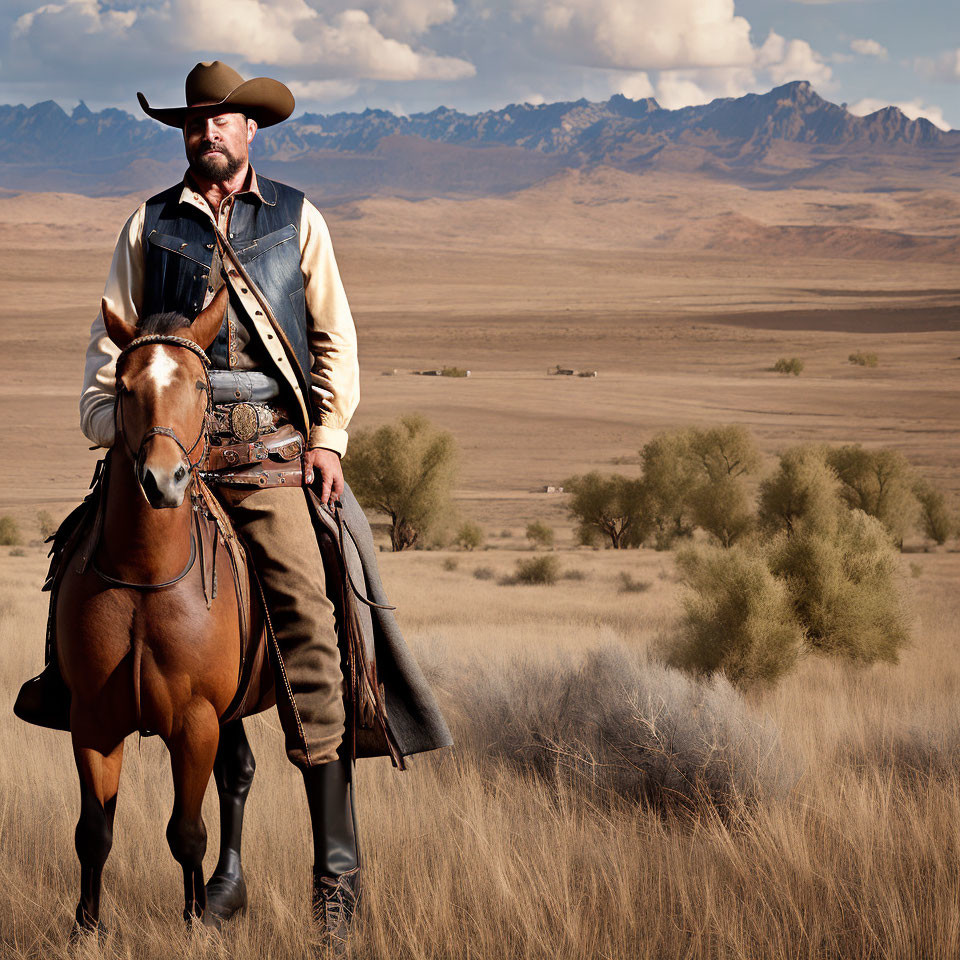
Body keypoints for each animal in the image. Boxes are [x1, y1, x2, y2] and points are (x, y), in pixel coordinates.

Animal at [57, 288, 272, 940]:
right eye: (124, 386)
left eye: (201, 385)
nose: (161, 479)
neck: (147, 576)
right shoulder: (92, 720)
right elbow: (93, 832)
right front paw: (86, 927)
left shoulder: (195, 721)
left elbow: (187, 832)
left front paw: (195, 919)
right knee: (238, 772)